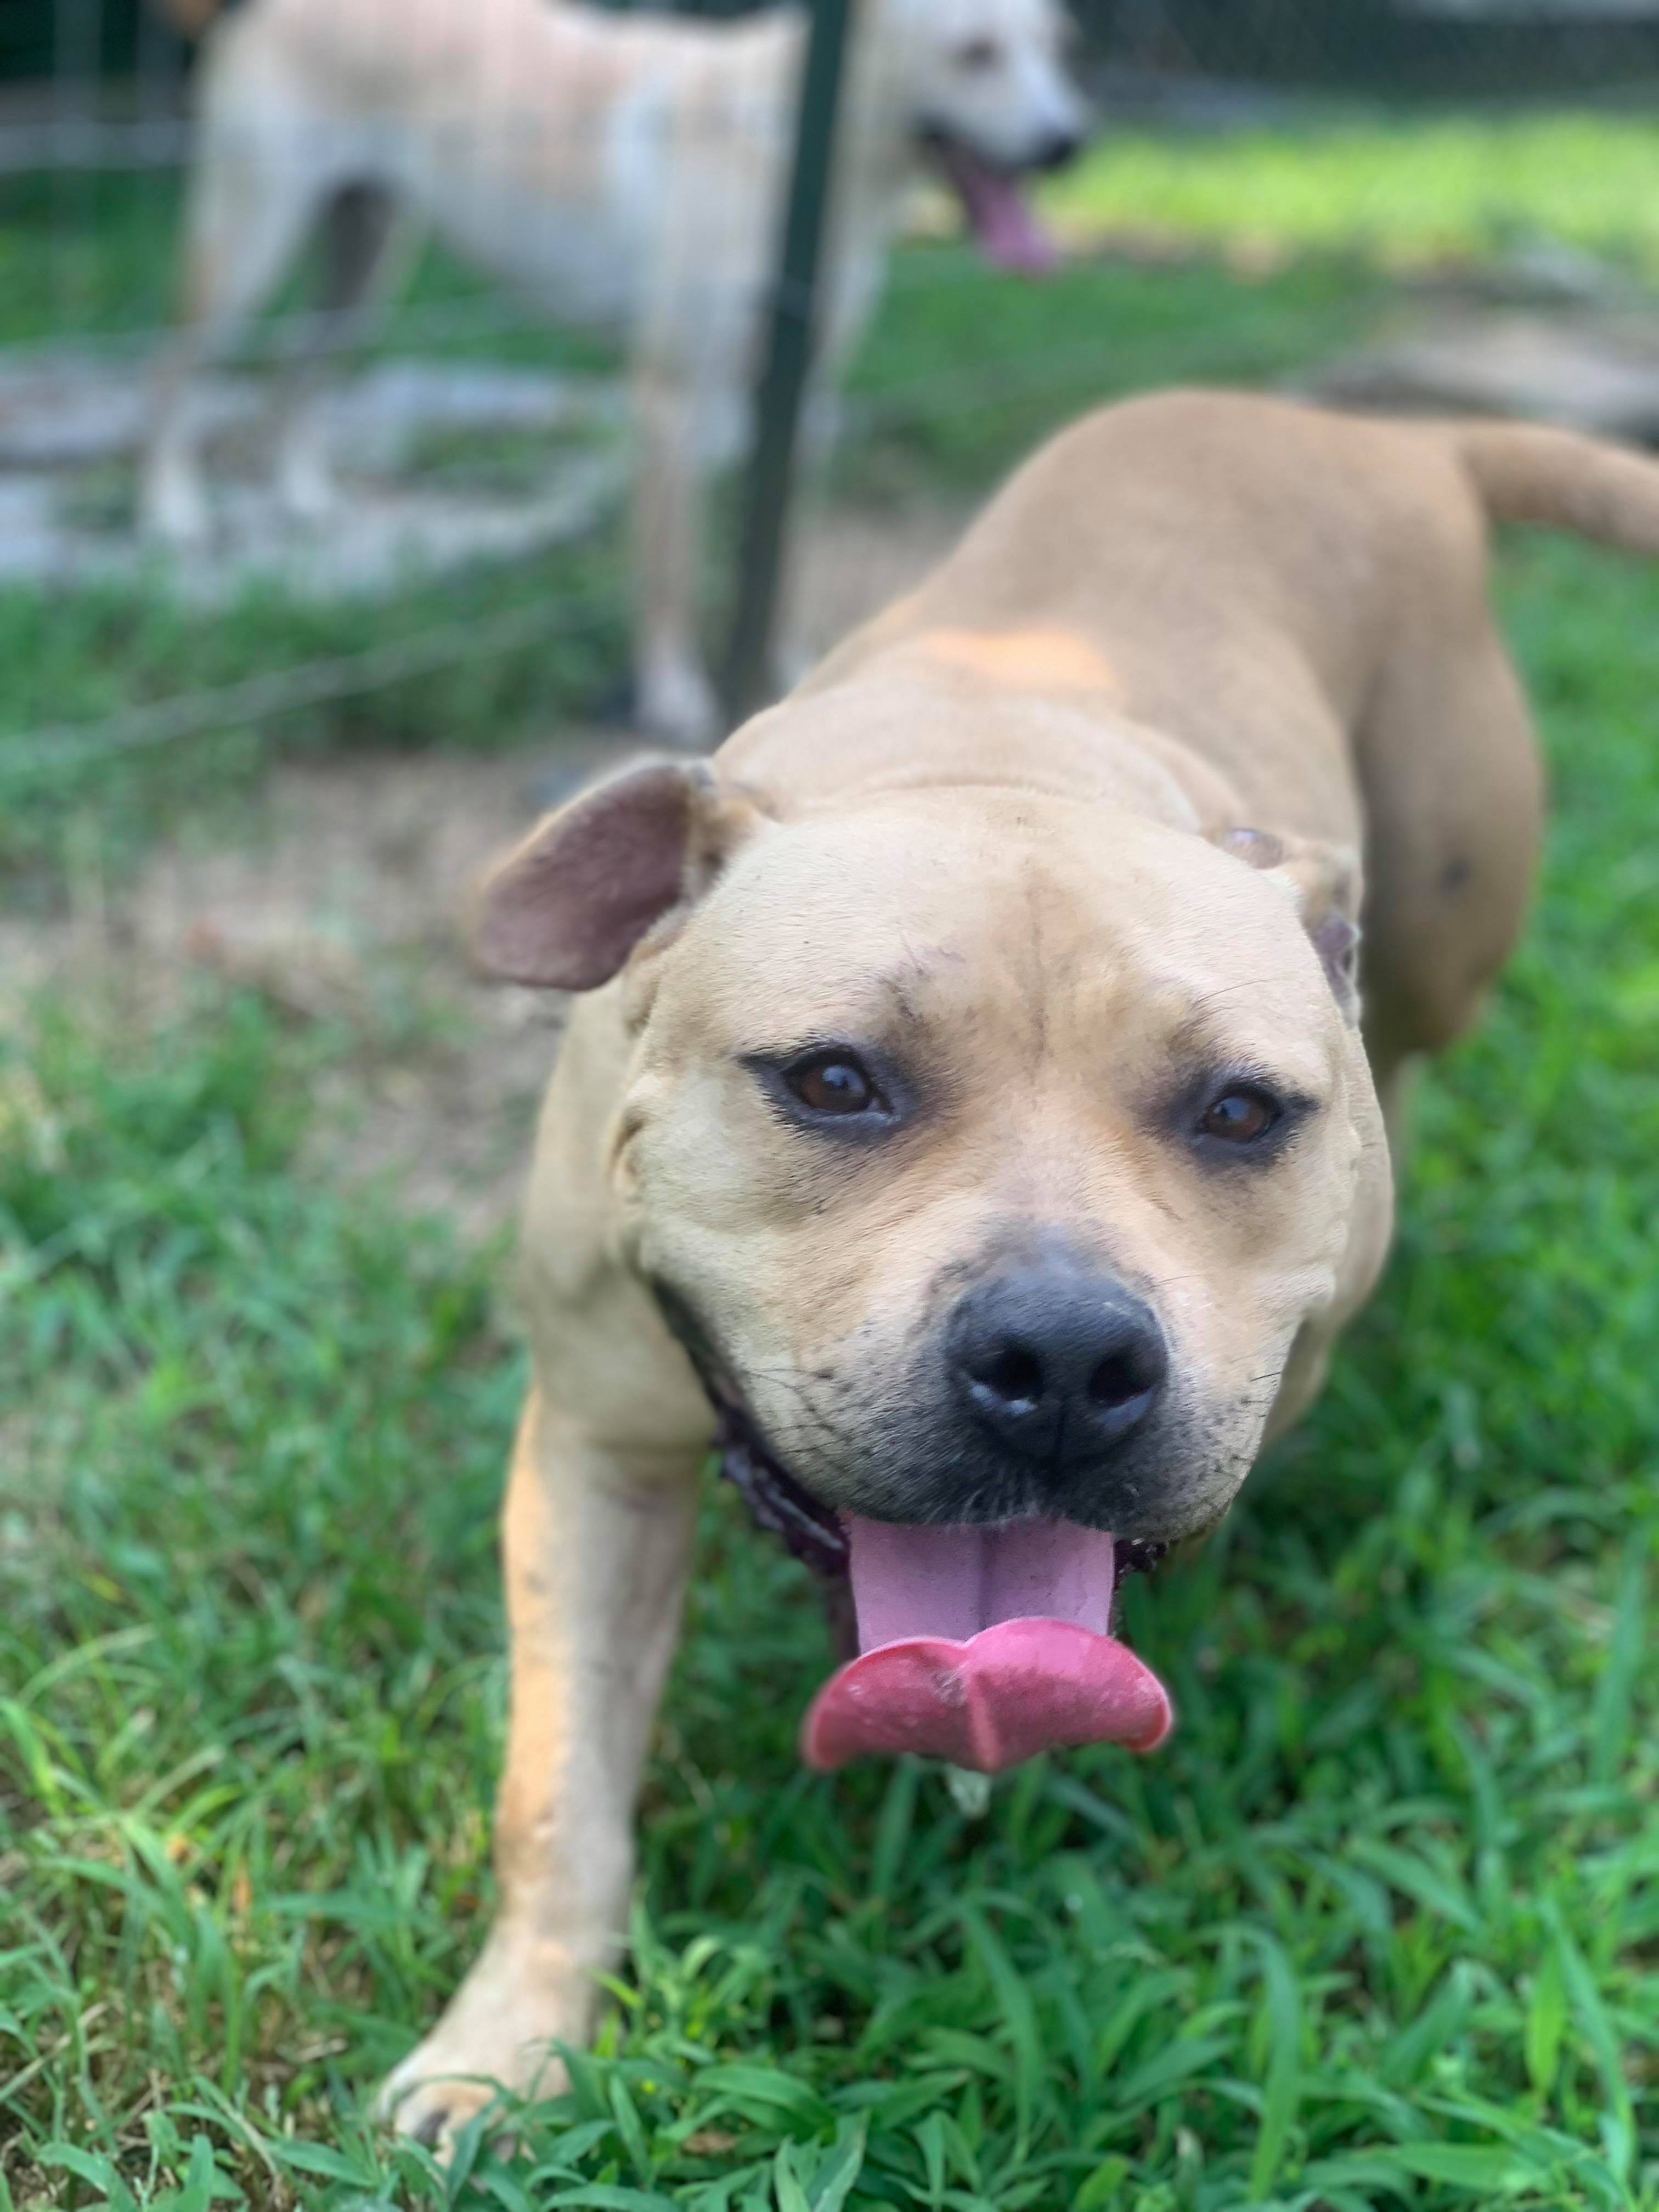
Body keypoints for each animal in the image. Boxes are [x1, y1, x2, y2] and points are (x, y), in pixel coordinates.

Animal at [143, 0, 1092, 747]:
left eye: (1056, 44)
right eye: (975, 51)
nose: (1068, 145)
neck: (794, 145)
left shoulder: (805, 398)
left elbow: (787, 558)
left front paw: (800, 672)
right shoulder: (669, 400)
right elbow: (670, 568)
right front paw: (671, 697)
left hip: (366, 266)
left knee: (295, 380)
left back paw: (303, 497)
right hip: (244, 250)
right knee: (177, 374)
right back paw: (173, 511)